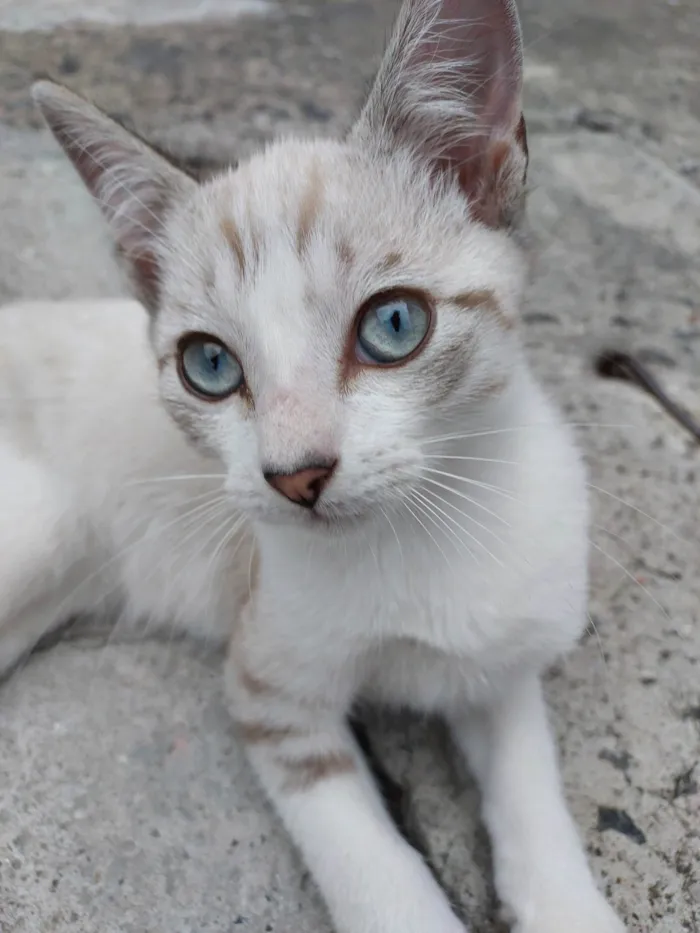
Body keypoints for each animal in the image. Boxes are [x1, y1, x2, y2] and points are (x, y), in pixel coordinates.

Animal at [0, 0, 624, 928]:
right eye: (210, 365)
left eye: (394, 325)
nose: (295, 474)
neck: (417, 539)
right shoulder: (271, 694)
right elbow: (376, 872)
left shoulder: (502, 656)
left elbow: (531, 788)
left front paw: (565, 902)